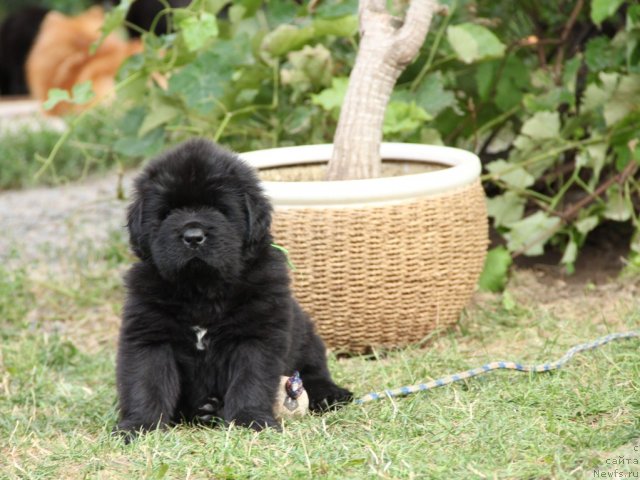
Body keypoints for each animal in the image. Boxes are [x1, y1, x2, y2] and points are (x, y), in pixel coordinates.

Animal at [117, 139, 352, 438]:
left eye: (219, 208)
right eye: (168, 212)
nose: (193, 236)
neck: (201, 290)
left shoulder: (256, 335)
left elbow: (250, 381)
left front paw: (250, 420)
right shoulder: (150, 335)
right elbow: (146, 383)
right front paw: (139, 426)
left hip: (306, 336)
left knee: (314, 371)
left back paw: (330, 394)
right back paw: (206, 410)